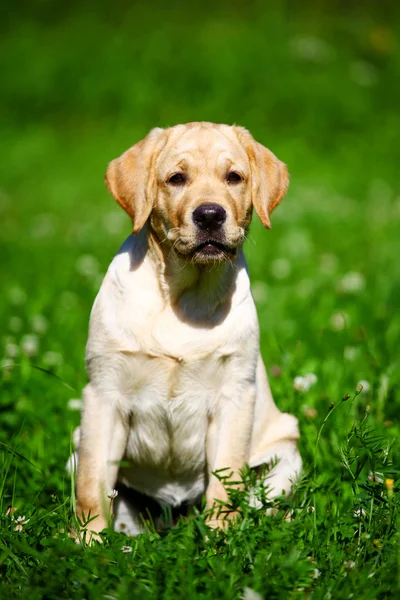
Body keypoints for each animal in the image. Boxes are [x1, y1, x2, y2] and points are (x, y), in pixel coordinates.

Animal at [73, 122, 302, 540]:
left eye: (234, 177)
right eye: (176, 179)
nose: (210, 215)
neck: (182, 295)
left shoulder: (233, 398)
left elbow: (225, 481)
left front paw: (219, 538)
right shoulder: (103, 395)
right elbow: (92, 483)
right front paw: (85, 542)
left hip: (287, 453)